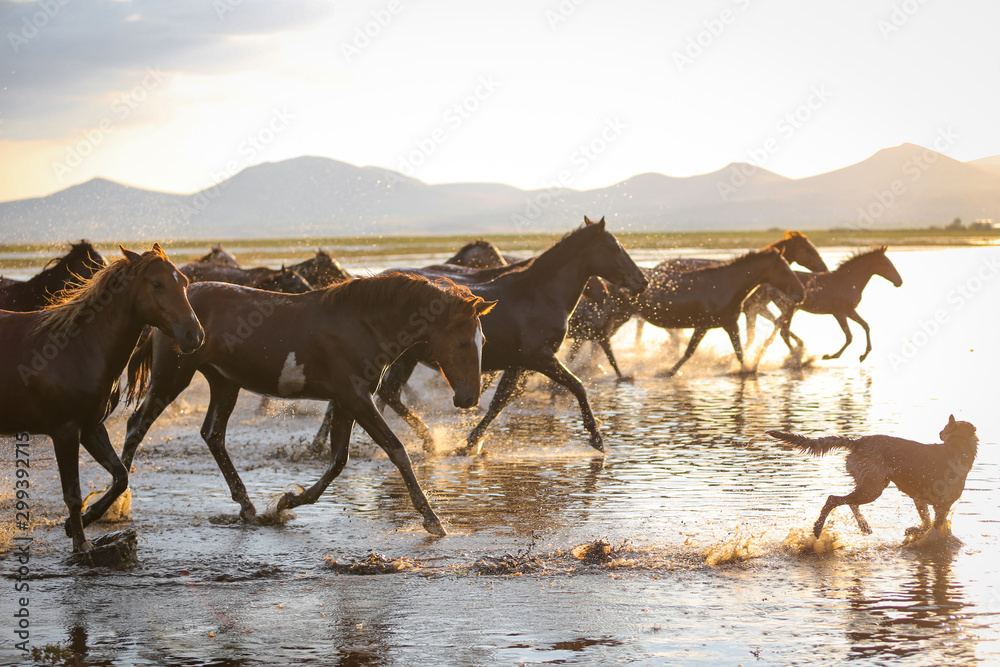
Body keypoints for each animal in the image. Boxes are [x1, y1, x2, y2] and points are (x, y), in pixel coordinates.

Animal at [0, 244, 203, 552]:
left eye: (184, 282)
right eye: (157, 284)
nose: (195, 334)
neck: (77, 348)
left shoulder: (92, 427)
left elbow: (120, 476)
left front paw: (79, 522)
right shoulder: (65, 431)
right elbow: (72, 494)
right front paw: (82, 546)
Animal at [122, 274, 495, 536]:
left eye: (483, 340)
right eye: (463, 342)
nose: (469, 398)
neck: (361, 323)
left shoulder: (345, 402)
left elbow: (338, 461)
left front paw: (288, 502)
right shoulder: (356, 399)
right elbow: (396, 450)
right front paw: (431, 519)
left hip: (225, 382)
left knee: (213, 435)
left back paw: (247, 505)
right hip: (172, 378)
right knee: (136, 426)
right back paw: (117, 498)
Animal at [332, 217, 647, 456]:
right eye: (615, 247)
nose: (641, 281)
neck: (541, 295)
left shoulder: (519, 363)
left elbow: (500, 402)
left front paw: (469, 444)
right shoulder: (539, 357)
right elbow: (577, 386)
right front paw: (597, 440)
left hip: (404, 359)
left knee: (389, 394)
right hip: (403, 358)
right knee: (388, 393)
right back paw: (428, 441)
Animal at [638, 249, 804, 377]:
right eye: (785, 270)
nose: (801, 294)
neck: (724, 287)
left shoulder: (730, 324)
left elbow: (739, 352)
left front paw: (747, 370)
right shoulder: (702, 326)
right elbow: (689, 351)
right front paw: (670, 371)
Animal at [764, 246, 902, 362]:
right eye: (886, 263)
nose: (899, 281)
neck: (848, 281)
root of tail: (767, 284)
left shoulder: (850, 311)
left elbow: (866, 326)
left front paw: (863, 356)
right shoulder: (839, 313)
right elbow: (849, 337)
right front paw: (830, 356)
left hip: (789, 310)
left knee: (780, 326)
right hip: (790, 308)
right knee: (784, 332)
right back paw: (797, 361)